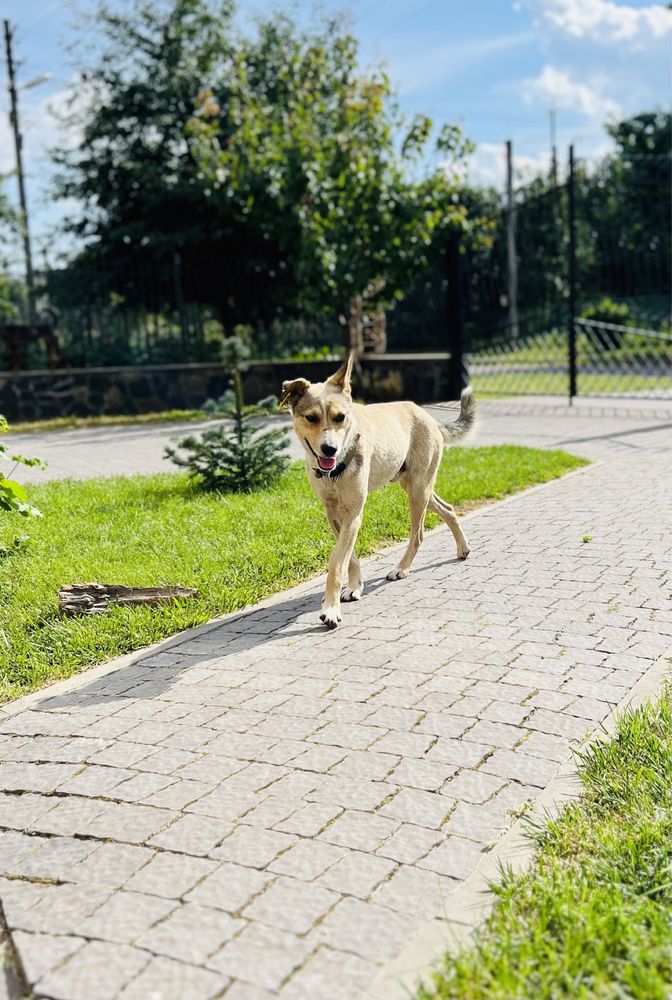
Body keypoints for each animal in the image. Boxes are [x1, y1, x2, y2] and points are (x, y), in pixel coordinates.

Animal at [280, 356, 476, 628]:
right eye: (311, 418)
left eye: (340, 417)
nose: (329, 449)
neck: (334, 472)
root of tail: (428, 416)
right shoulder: (334, 513)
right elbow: (348, 557)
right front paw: (354, 586)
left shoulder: (353, 512)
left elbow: (336, 563)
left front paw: (331, 608)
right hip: (415, 487)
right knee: (447, 509)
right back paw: (463, 548)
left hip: (418, 491)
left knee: (418, 534)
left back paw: (402, 568)